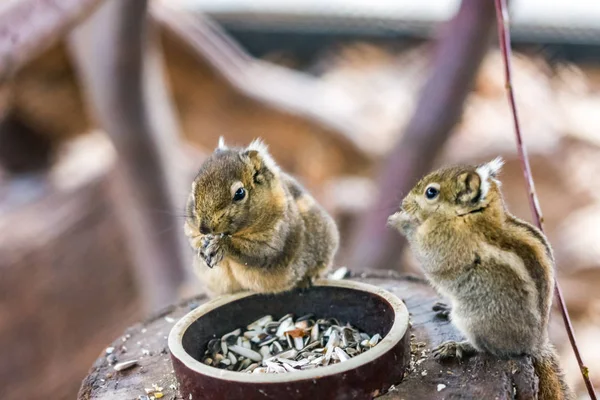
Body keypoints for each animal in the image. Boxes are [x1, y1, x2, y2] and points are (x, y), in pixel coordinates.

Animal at [183, 138, 340, 296]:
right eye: (193, 191)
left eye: (240, 193)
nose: (204, 229)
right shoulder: (190, 229)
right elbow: (193, 240)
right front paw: (203, 244)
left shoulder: (274, 238)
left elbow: (255, 253)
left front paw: (220, 245)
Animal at [390, 158, 572, 400]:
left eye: (431, 192)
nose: (403, 203)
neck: (470, 216)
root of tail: (534, 345)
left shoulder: (443, 244)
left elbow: (427, 253)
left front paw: (402, 221)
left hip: (474, 319)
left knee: (488, 349)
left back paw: (456, 347)